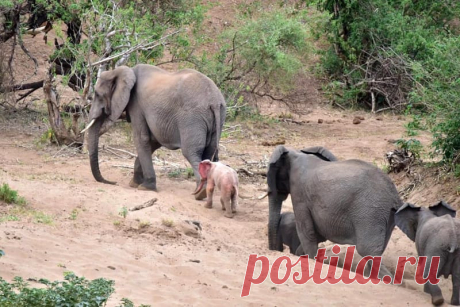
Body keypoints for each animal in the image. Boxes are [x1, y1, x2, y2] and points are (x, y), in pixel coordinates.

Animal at [83, 64, 227, 200]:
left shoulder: (136, 104)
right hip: (218, 118)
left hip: (192, 118)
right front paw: (135, 184)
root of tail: (214, 101)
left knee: (192, 153)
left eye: (97, 94)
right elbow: (153, 141)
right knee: (208, 153)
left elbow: (141, 138)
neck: (121, 71)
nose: (113, 182)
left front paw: (145, 187)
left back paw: (199, 193)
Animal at [266, 146, 402, 278]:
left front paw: (311, 258)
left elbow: (306, 232)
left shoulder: (299, 193)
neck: (295, 152)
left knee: (367, 250)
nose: (276, 251)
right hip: (385, 215)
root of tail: (394, 194)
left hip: (371, 211)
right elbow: (316, 234)